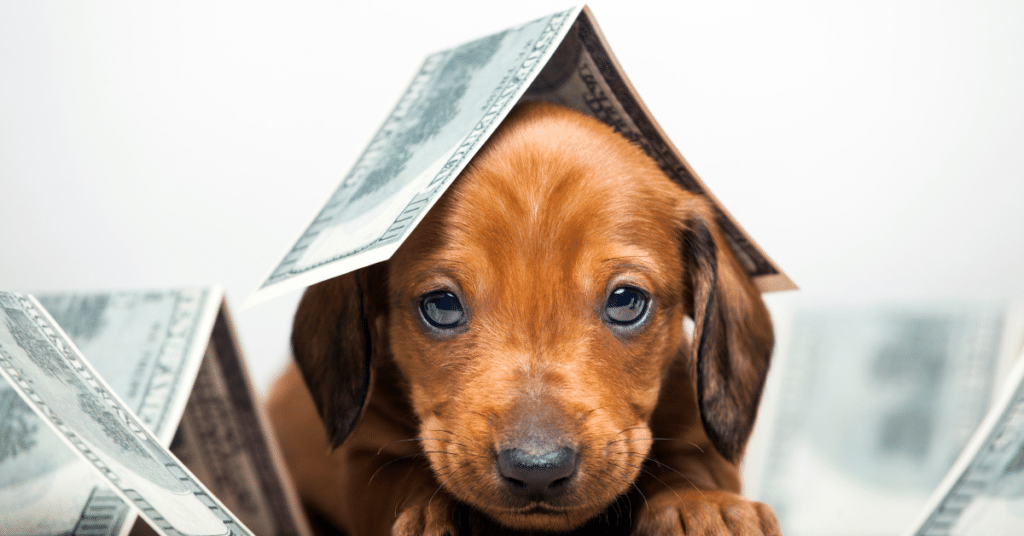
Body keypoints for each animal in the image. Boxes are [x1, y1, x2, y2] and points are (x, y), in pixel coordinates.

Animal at [268, 101, 778, 536]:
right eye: (441, 305)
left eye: (627, 300)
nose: (537, 470)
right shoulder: (367, 455)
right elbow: (403, 480)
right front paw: (433, 514)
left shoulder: (694, 429)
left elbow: (694, 465)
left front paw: (702, 505)